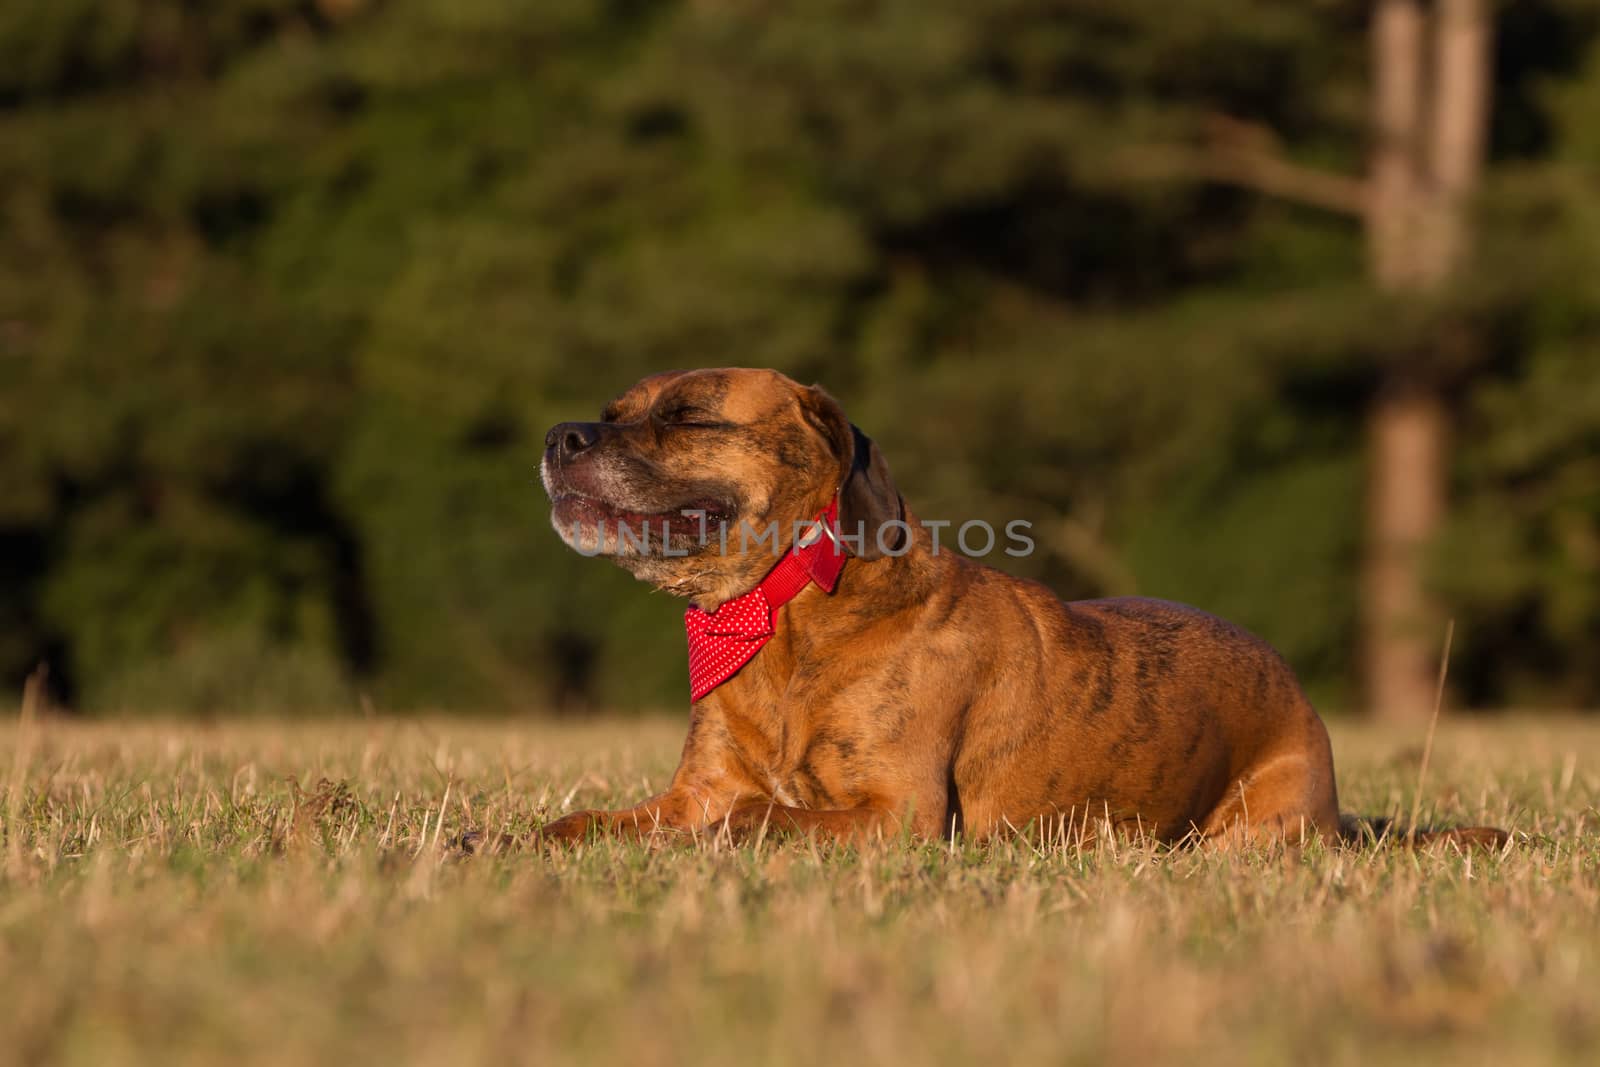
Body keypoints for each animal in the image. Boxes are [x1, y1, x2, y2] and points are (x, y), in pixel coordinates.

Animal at [534, 367, 1497, 851]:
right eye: (614, 410)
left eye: (691, 417)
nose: (558, 434)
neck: (779, 616)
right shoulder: (691, 792)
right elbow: (588, 821)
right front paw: (523, 840)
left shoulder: (900, 815)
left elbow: (752, 817)